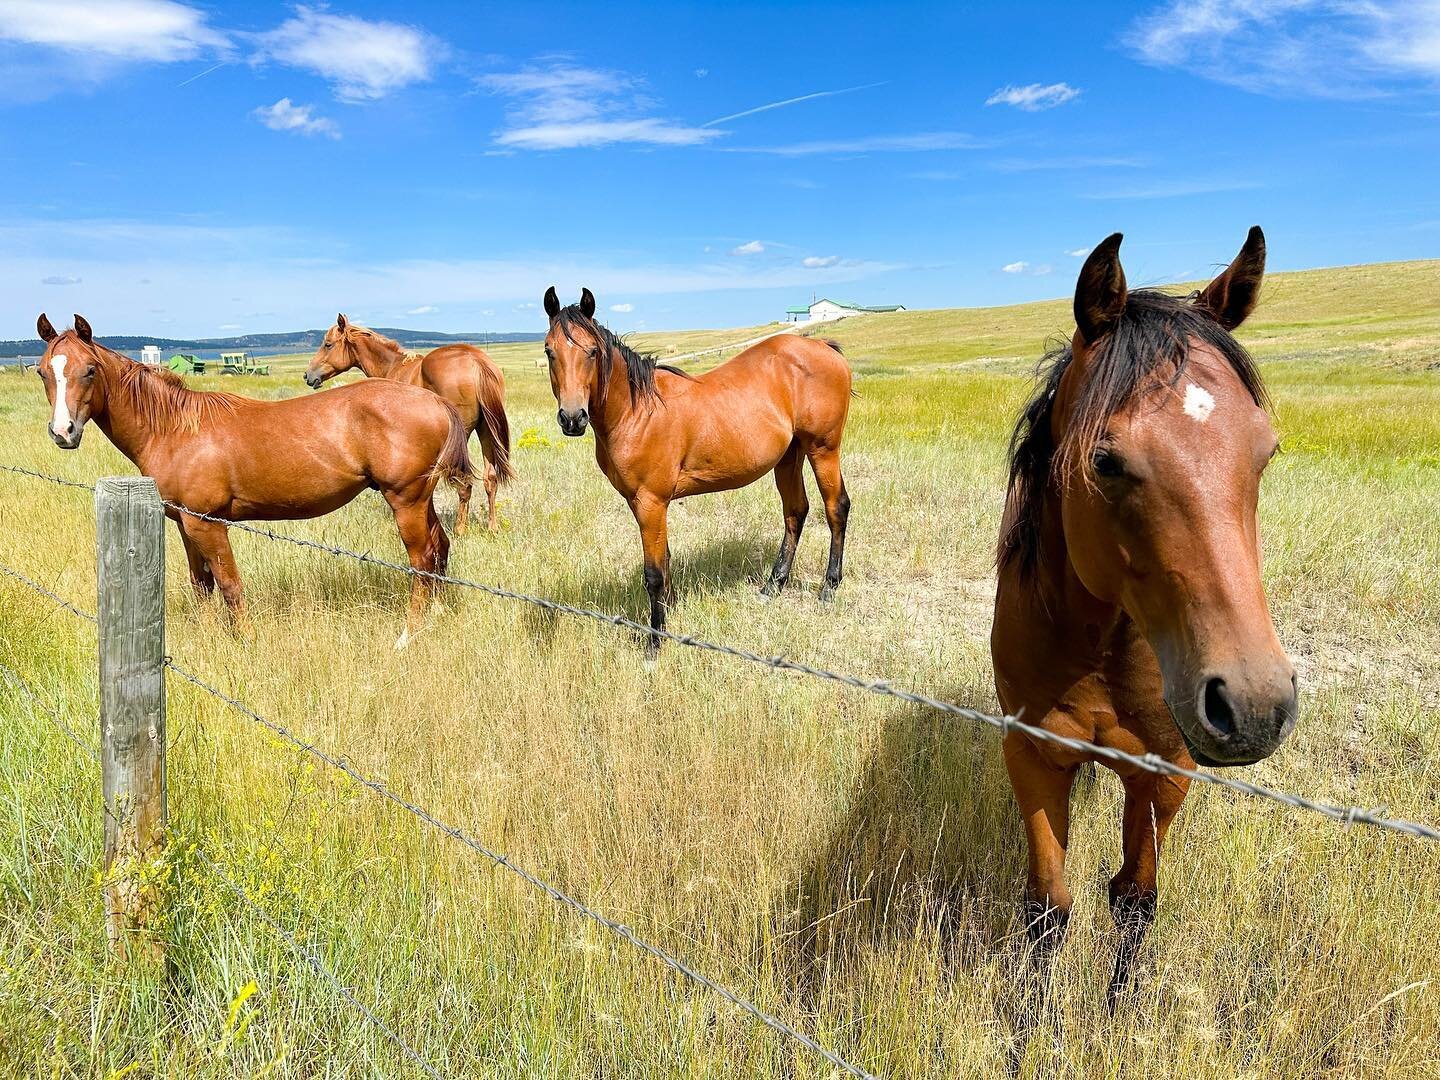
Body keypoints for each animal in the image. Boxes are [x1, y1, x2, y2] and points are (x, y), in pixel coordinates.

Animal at [36, 316, 469, 648]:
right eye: (43, 371)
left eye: (90, 370)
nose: (62, 432)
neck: (174, 429)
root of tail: (434, 400)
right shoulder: (185, 524)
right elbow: (201, 585)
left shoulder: (207, 524)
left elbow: (229, 585)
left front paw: (244, 639)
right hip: (420, 499)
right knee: (440, 546)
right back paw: (437, 614)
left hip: (405, 501)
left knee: (422, 561)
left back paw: (408, 635)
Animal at [300, 316, 515, 538]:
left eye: (328, 344)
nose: (308, 375)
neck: (392, 367)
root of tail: (475, 360)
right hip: (486, 431)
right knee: (490, 479)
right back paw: (492, 527)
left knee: (465, 482)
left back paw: (459, 529)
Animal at [541, 288, 852, 659]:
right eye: (549, 351)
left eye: (591, 351)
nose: (573, 418)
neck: (637, 412)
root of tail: (823, 347)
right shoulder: (645, 504)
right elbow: (665, 560)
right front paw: (668, 614)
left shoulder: (651, 502)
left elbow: (654, 574)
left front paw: (655, 641)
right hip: (790, 456)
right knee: (795, 511)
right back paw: (773, 585)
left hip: (823, 449)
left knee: (836, 508)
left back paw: (829, 588)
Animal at [996, 226, 1301, 1008]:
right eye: (1104, 461)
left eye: (1266, 452)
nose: (1255, 703)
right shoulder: (1032, 753)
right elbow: (1047, 905)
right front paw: (1033, 1020)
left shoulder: (1166, 771)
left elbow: (1135, 898)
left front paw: (1119, 1009)